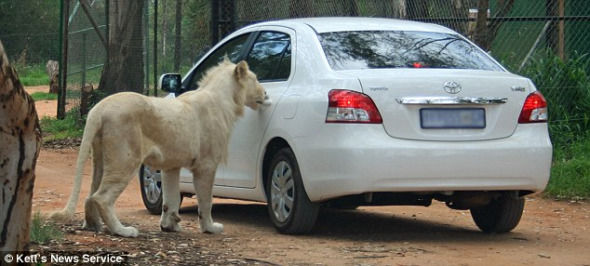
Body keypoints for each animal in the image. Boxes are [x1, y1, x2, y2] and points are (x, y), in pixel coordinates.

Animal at [51, 60, 268, 237]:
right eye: (256, 79)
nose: (266, 94)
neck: (227, 99)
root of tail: (98, 109)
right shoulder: (206, 164)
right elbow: (206, 201)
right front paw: (210, 228)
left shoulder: (171, 165)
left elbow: (170, 198)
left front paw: (170, 226)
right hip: (126, 157)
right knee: (102, 197)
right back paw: (123, 231)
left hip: (101, 157)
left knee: (90, 194)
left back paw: (92, 225)